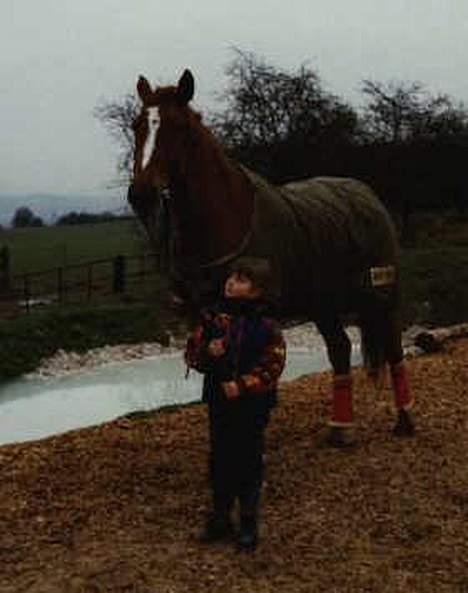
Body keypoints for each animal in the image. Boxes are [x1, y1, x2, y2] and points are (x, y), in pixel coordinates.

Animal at [127, 68, 414, 444]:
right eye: (136, 125)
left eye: (178, 127)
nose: (141, 194)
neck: (228, 218)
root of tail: (368, 195)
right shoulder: (205, 318)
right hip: (322, 304)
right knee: (339, 349)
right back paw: (339, 430)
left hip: (383, 294)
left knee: (393, 348)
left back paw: (404, 421)